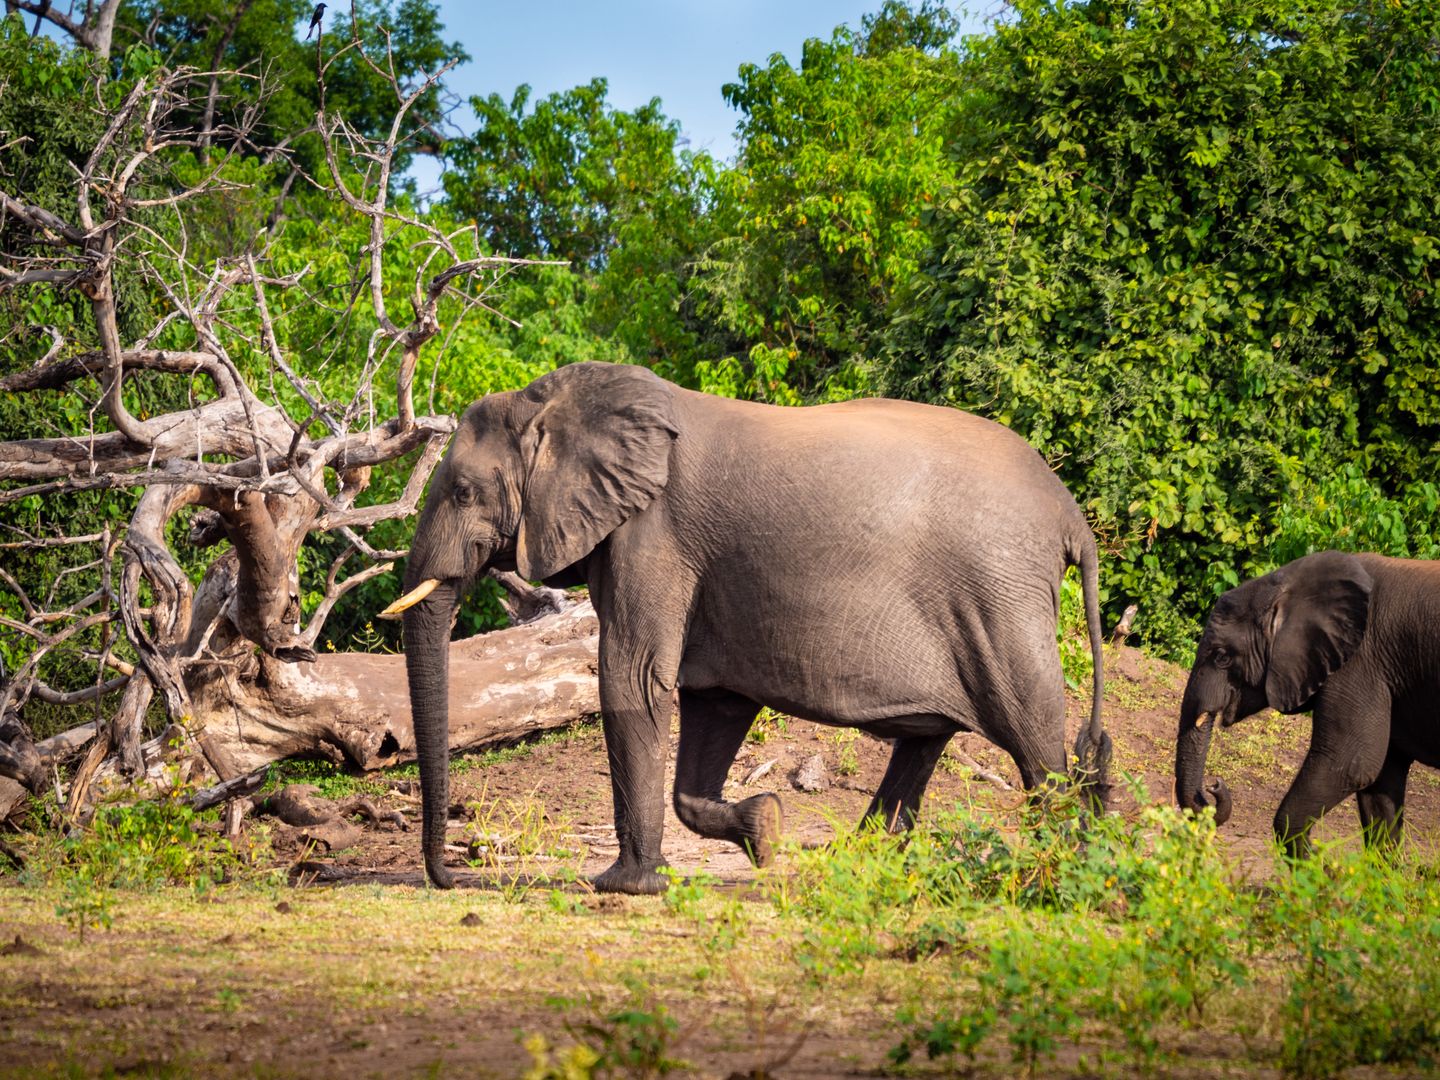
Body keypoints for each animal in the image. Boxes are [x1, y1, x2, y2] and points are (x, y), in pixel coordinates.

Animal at [385, 364, 1111, 898]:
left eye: (463, 492)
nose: (451, 877)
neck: (554, 402)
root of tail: (1070, 514)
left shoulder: (653, 534)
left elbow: (631, 678)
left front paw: (624, 886)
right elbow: (715, 704)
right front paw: (766, 832)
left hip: (999, 600)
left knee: (1035, 744)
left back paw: (1061, 877)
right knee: (928, 741)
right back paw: (861, 865)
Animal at [1180, 552, 1440, 858]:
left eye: (1222, 657)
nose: (1214, 784)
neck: (1291, 585)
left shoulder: (1361, 662)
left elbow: (1351, 763)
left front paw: (1321, 869)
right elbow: (1380, 782)